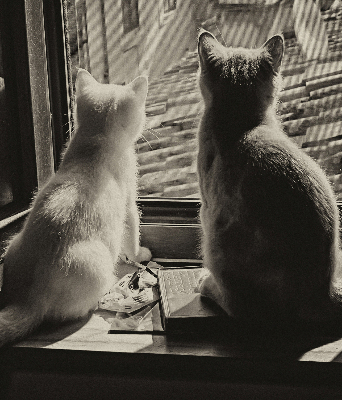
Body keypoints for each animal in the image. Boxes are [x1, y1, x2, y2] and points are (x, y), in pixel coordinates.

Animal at [0, 70, 151, 346]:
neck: (94, 141)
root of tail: (29, 300)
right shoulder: (129, 204)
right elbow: (133, 234)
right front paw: (139, 255)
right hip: (98, 265)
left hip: (13, 242)